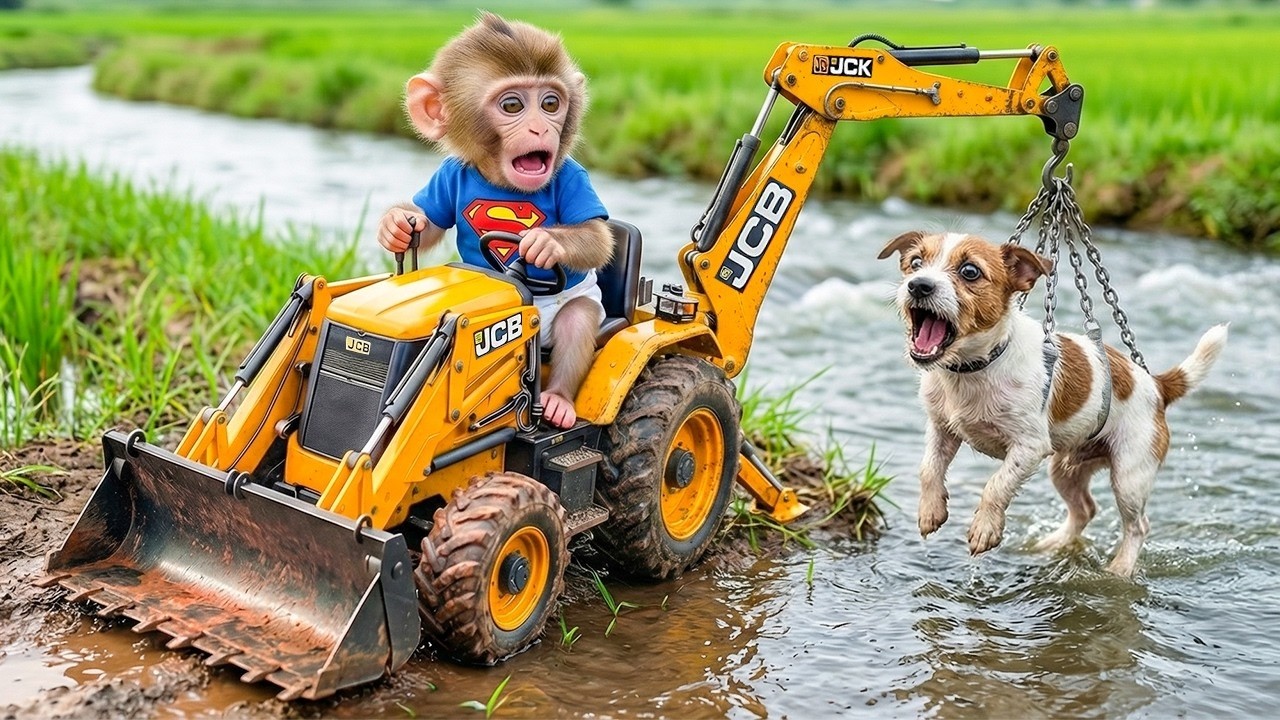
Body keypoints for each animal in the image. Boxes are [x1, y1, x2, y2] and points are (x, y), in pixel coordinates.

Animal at [377, 12, 613, 430]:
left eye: (550, 103)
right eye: (513, 105)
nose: (541, 127)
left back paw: (558, 401)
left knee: (577, 320)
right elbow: (428, 218)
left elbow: (595, 235)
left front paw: (543, 243)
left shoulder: (574, 177)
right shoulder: (448, 175)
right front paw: (397, 225)